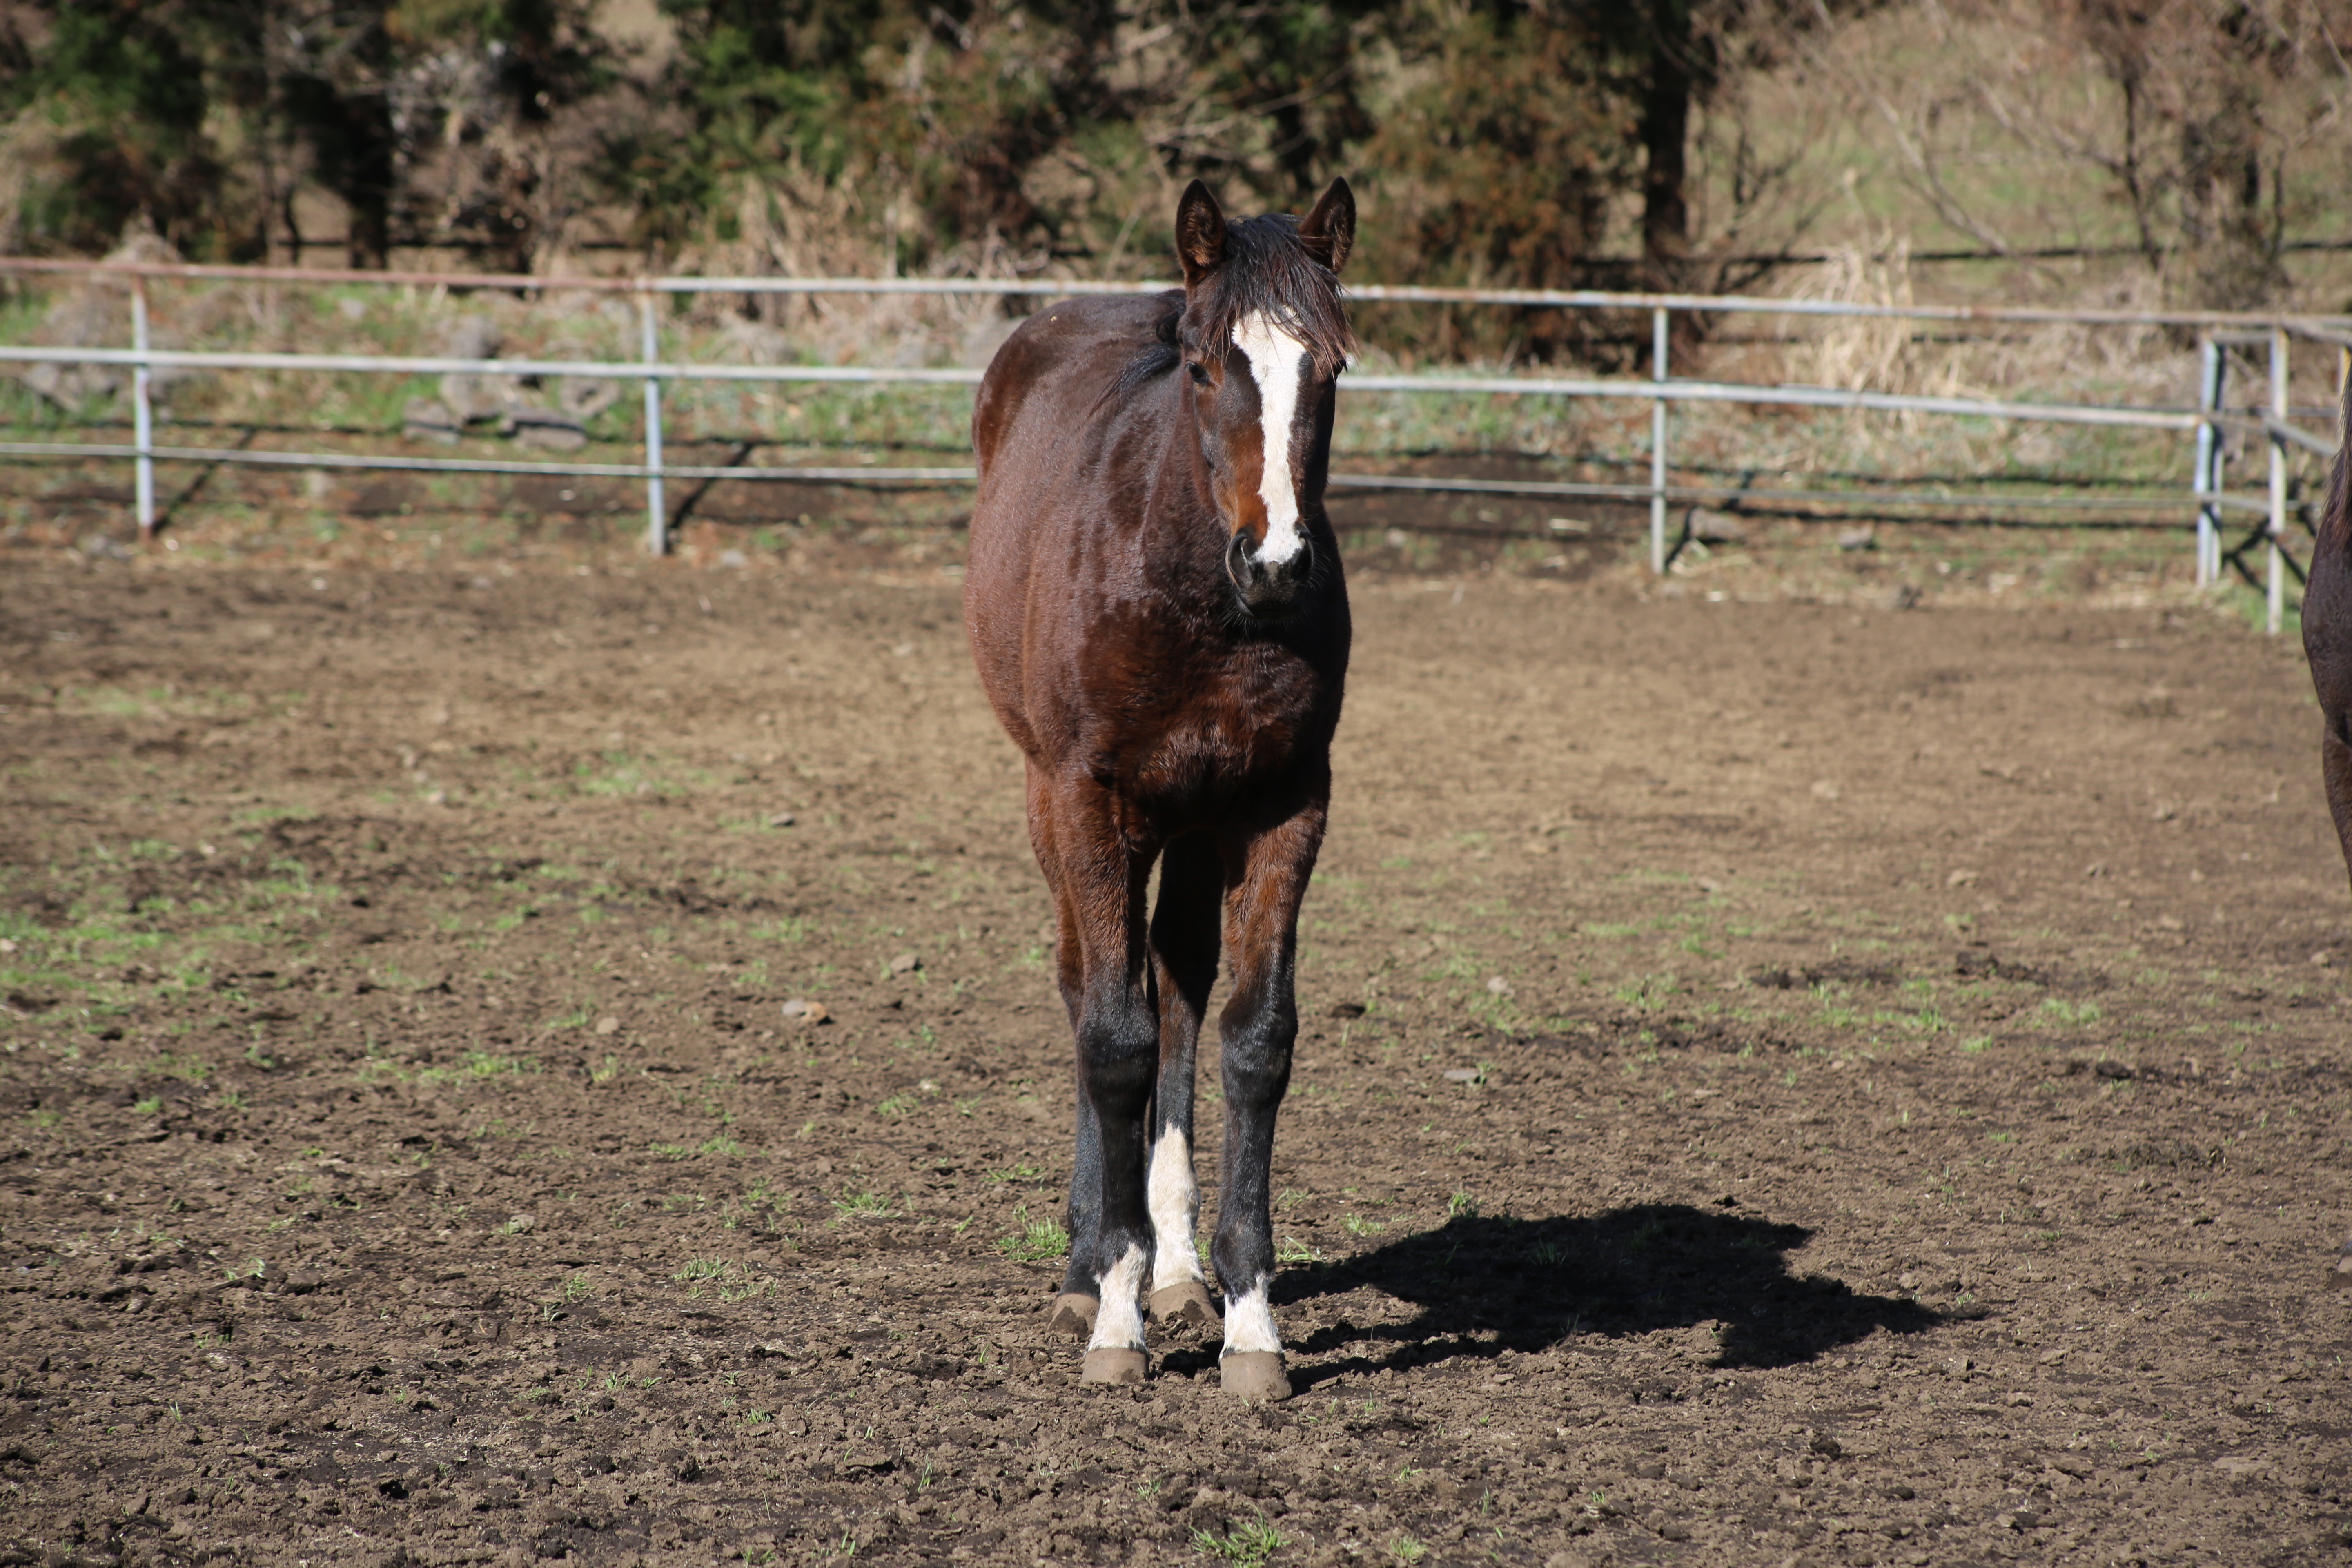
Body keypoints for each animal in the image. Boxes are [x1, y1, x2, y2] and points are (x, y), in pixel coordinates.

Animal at [960, 181, 1364, 1401]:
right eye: (1200, 365)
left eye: (1332, 367)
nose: (1275, 566)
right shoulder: (1085, 798)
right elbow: (1112, 1038)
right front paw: (1112, 1308)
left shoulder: (1283, 803)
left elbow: (1252, 1039)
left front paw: (1248, 1319)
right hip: (1066, 807)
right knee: (1093, 988)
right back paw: (1090, 1266)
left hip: (1189, 823)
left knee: (1177, 988)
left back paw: (1178, 1267)